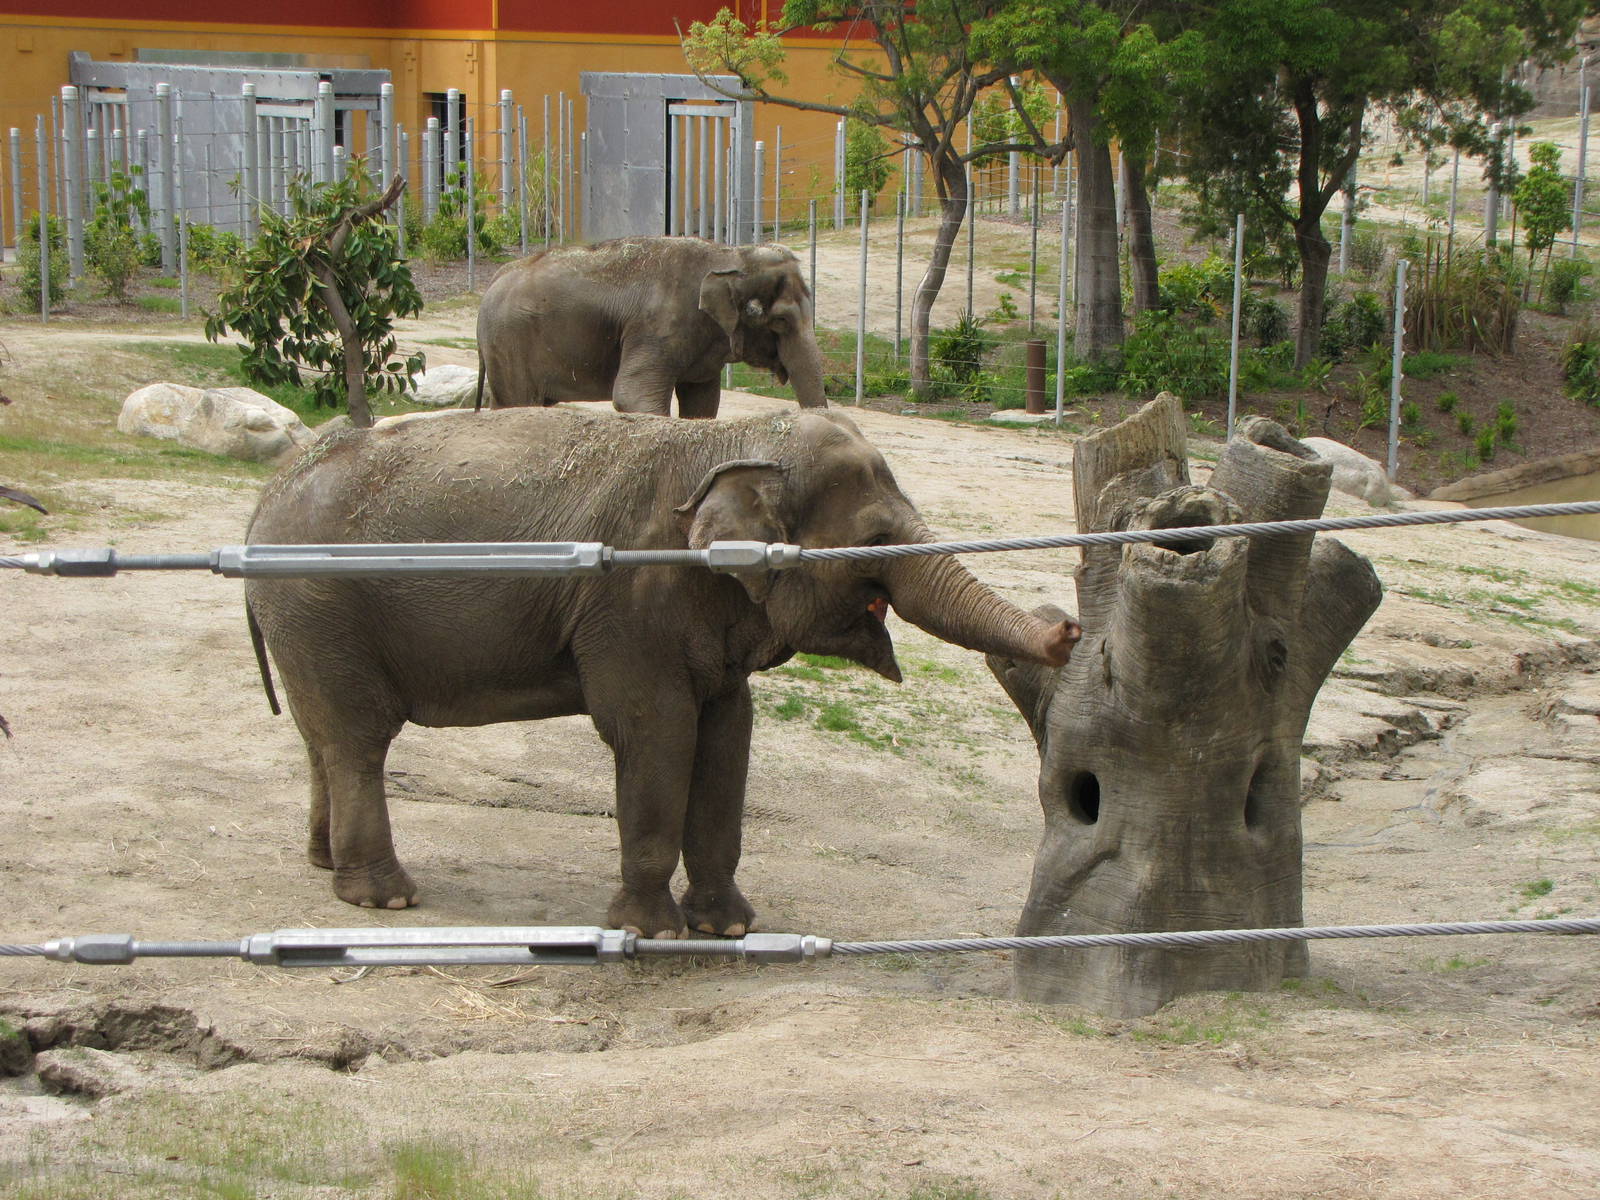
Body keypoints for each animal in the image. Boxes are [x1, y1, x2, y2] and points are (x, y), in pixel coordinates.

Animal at [244, 407, 1081, 937]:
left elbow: (728, 735)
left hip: (309, 622)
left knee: (323, 737)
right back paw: (384, 901)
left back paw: (326, 863)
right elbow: (658, 732)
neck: (731, 441)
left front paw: (730, 927)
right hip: (320, 603)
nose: (1066, 627)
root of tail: (263, 498)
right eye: (876, 539)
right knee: (358, 738)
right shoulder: (632, 599)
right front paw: (655, 933)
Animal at [474, 236, 828, 417]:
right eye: (780, 321)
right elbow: (632, 396)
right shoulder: (658, 329)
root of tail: (495, 278)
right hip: (509, 345)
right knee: (518, 402)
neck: (732, 255)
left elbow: (703, 403)